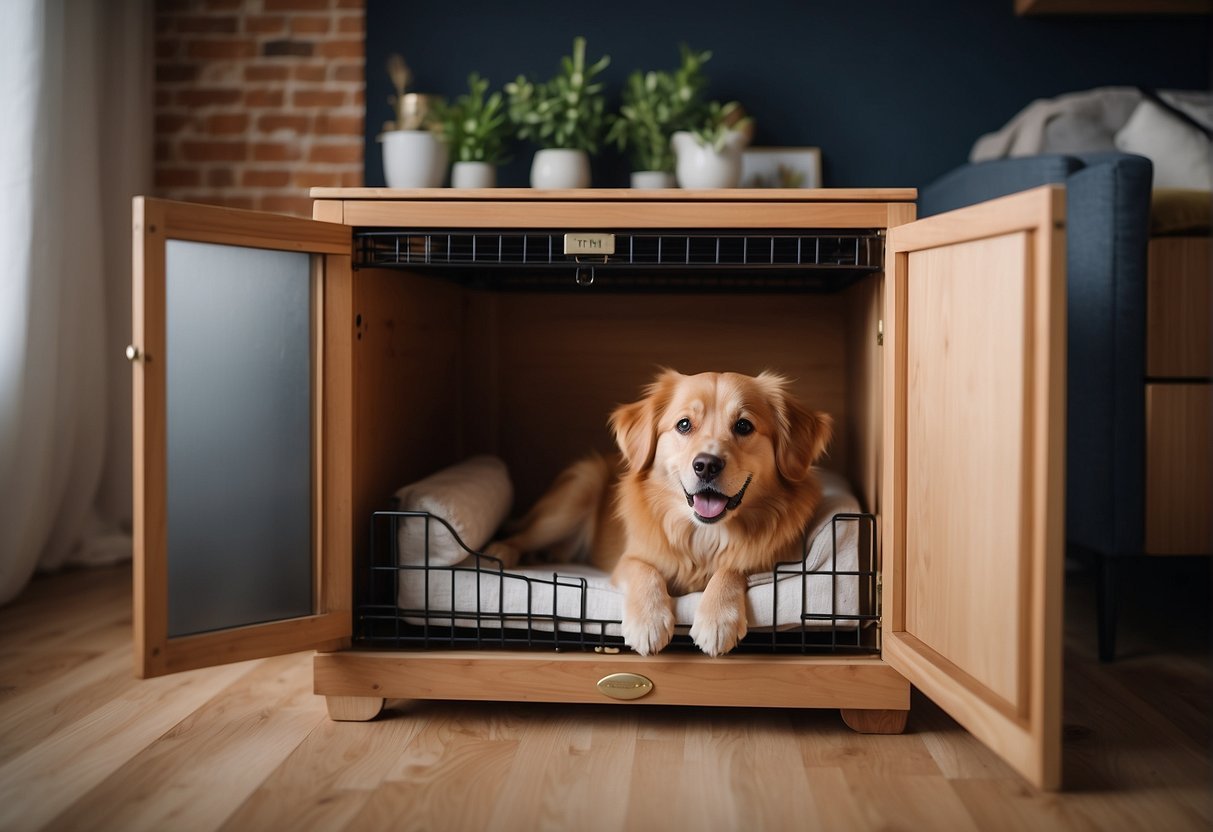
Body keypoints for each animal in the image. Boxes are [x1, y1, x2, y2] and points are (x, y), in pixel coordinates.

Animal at [485, 371, 834, 659]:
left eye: (744, 426)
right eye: (684, 424)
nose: (706, 465)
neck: (703, 535)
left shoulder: (770, 561)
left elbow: (733, 568)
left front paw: (717, 618)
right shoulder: (628, 559)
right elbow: (645, 571)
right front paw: (648, 621)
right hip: (575, 493)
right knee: (522, 536)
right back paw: (499, 552)